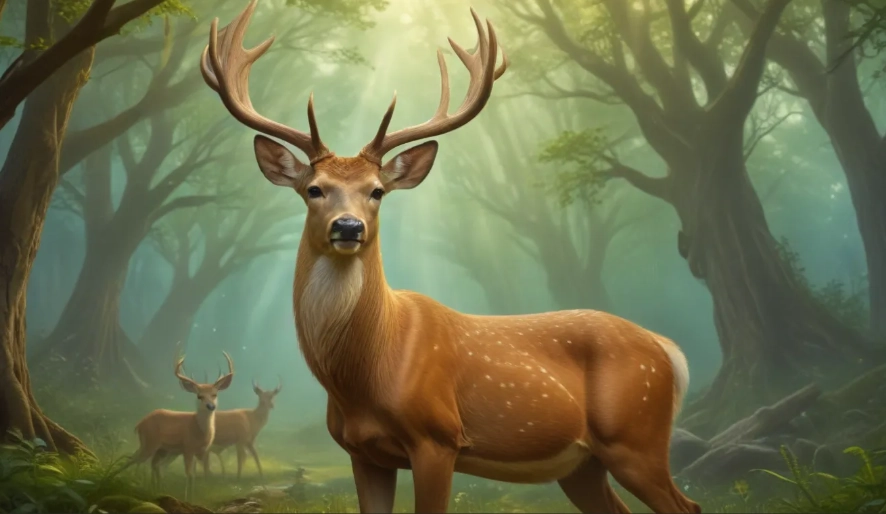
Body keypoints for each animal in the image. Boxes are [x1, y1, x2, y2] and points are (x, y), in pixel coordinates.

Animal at [121, 352, 234, 501]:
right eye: (199, 396)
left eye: (214, 394)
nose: (211, 406)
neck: (199, 430)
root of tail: (139, 424)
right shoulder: (187, 448)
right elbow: (189, 474)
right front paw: (187, 498)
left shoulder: (198, 452)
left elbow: (197, 474)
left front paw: (191, 498)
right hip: (150, 442)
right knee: (134, 460)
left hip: (164, 450)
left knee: (154, 465)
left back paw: (155, 489)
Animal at [199, 1, 701, 512]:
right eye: (313, 189)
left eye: (377, 191)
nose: (348, 227)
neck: (369, 370)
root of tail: (667, 350)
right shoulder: (362, 451)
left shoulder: (438, 438)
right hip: (583, 464)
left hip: (635, 436)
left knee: (688, 504)